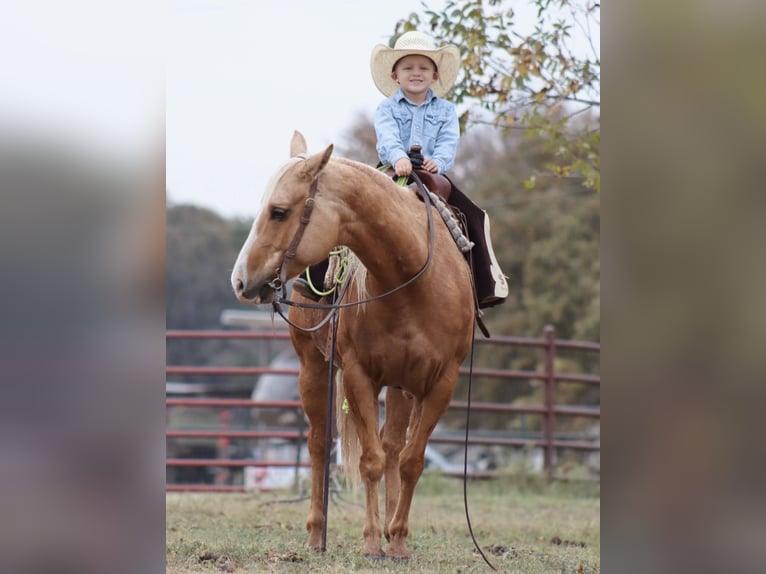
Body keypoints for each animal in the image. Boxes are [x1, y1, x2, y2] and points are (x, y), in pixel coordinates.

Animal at [231, 132, 476, 564]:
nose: (240, 280)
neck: (413, 279)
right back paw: (317, 534)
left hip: (400, 385)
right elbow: (371, 460)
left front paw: (397, 539)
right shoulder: (359, 376)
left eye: (279, 212)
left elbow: (410, 461)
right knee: (318, 443)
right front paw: (373, 541)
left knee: (394, 446)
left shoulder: (440, 383)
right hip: (312, 368)